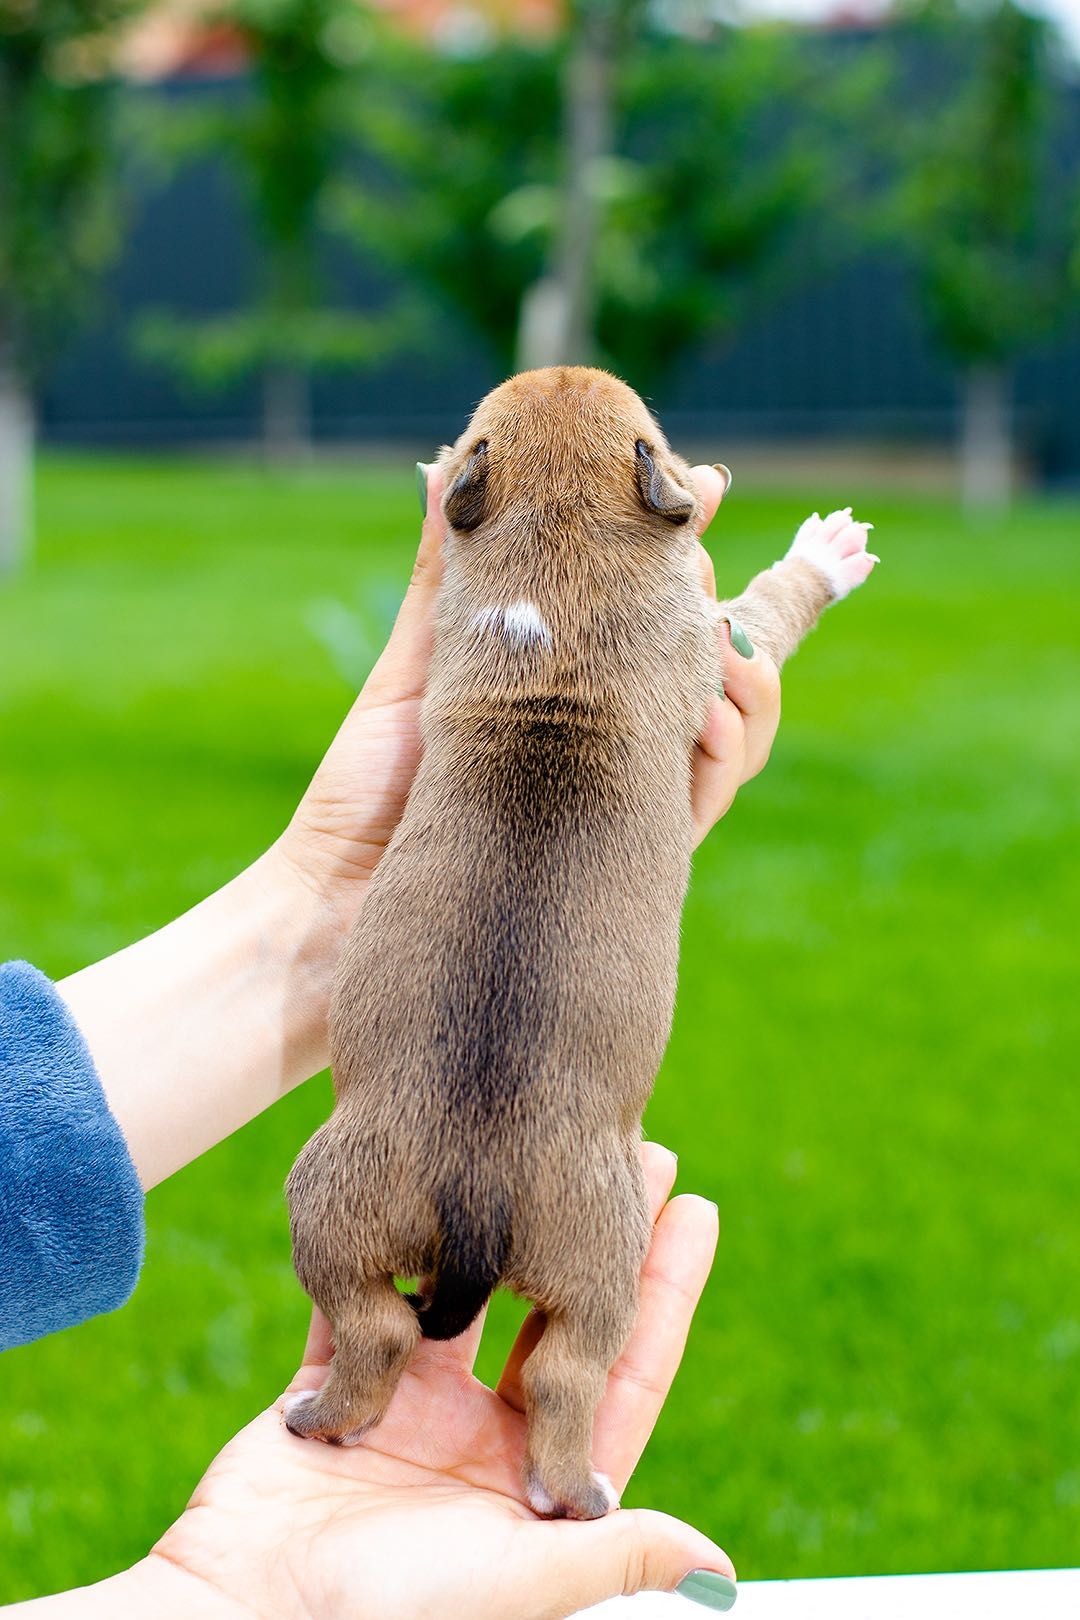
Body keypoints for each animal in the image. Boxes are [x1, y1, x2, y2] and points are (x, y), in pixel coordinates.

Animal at [286, 364, 880, 1516]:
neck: (558, 559)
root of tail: (473, 1187)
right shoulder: (720, 634)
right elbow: (770, 608)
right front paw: (823, 556)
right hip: (605, 1249)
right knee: (566, 1366)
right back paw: (574, 1489)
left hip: (332, 1195)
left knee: (371, 1321)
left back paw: (329, 1419)